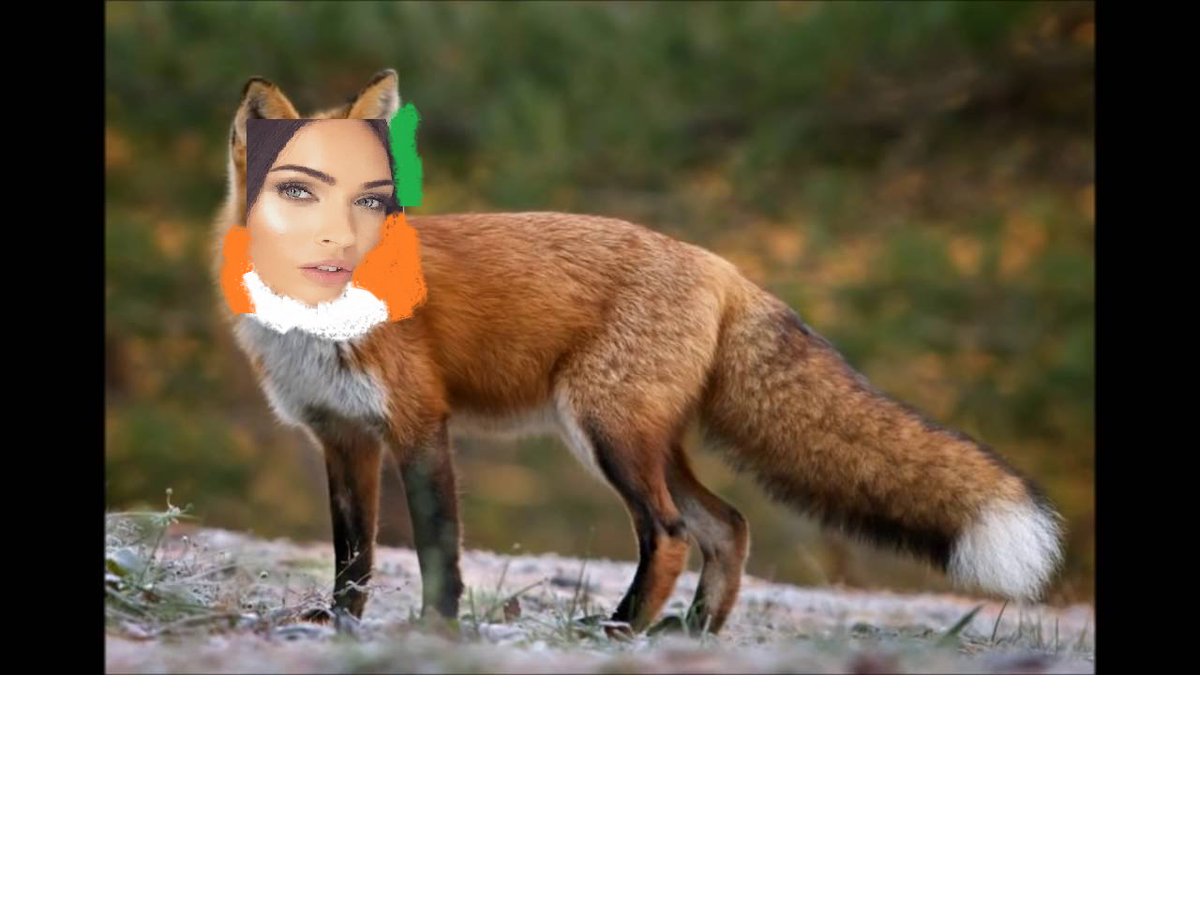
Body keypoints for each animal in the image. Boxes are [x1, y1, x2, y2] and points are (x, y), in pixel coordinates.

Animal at [211, 69, 1064, 636]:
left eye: (374, 199)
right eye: (303, 193)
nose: (349, 252)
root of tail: (723, 267)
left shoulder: (421, 425)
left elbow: (436, 550)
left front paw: (434, 631)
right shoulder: (342, 437)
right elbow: (352, 558)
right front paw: (339, 627)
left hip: (608, 434)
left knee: (674, 533)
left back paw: (621, 628)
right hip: (642, 440)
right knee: (729, 525)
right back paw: (691, 633)